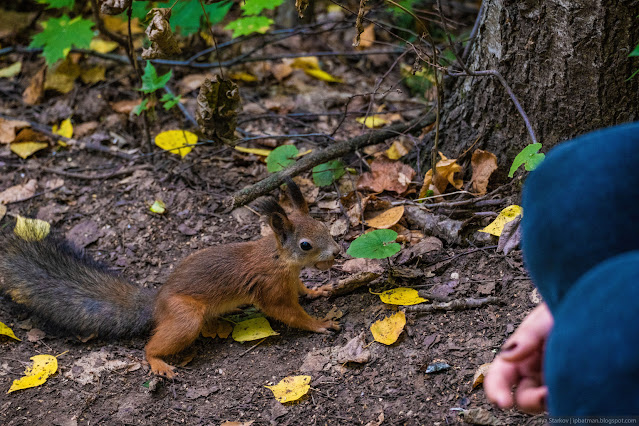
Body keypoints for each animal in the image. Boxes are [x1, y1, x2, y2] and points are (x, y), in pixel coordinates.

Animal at [0, 178, 340, 378]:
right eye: (305, 245)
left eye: (323, 225)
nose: (337, 252)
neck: (279, 258)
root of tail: (158, 303)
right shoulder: (269, 287)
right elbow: (286, 312)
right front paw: (319, 323)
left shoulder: (290, 279)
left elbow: (301, 290)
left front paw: (318, 291)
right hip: (184, 316)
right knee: (153, 345)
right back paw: (157, 362)